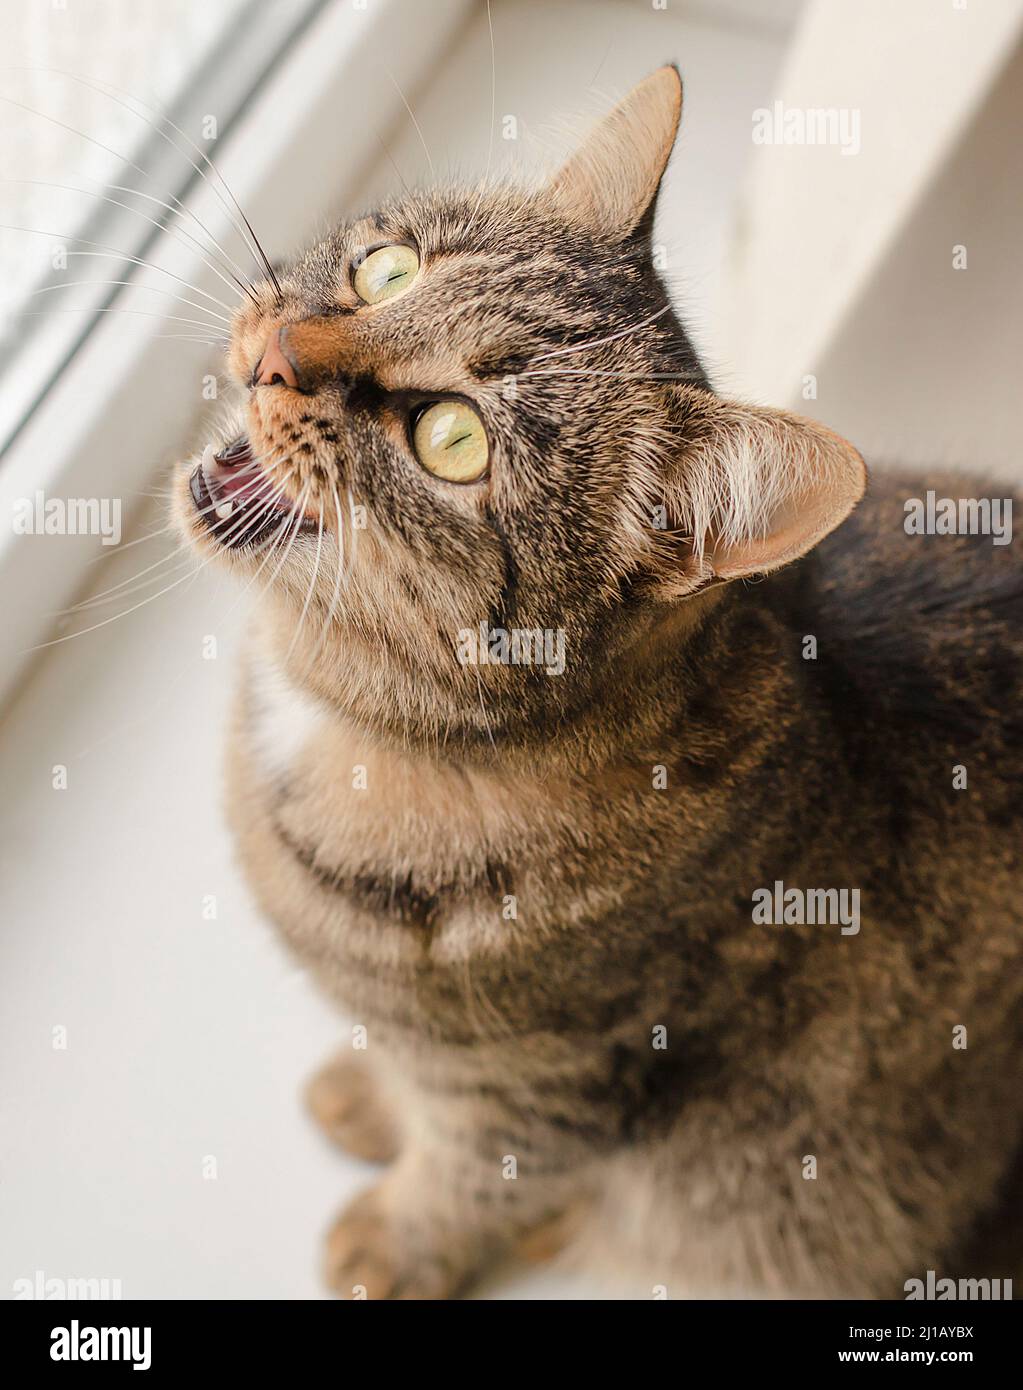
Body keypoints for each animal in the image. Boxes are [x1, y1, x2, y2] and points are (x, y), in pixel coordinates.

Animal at [171, 67, 1017, 1301]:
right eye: (389, 270)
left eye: (452, 438)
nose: (275, 346)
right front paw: (370, 1095)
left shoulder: (546, 1095)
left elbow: (466, 1178)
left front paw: (394, 1239)